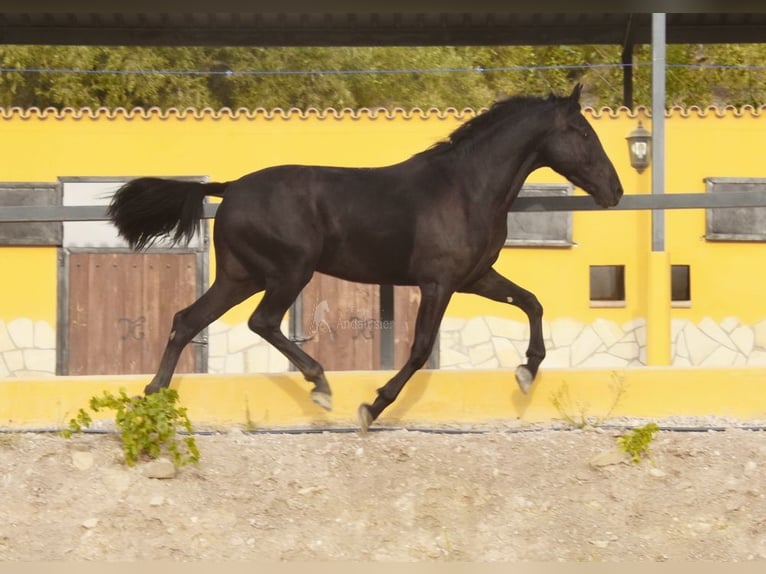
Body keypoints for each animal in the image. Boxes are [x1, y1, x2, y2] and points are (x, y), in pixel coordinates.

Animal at [108, 84, 624, 432]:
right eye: (581, 131)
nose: (615, 191)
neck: (465, 189)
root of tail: (229, 188)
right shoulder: (439, 282)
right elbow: (419, 349)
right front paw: (370, 408)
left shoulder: (476, 276)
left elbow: (532, 302)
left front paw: (526, 373)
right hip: (288, 272)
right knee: (262, 322)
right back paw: (320, 385)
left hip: (240, 276)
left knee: (186, 319)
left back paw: (153, 397)